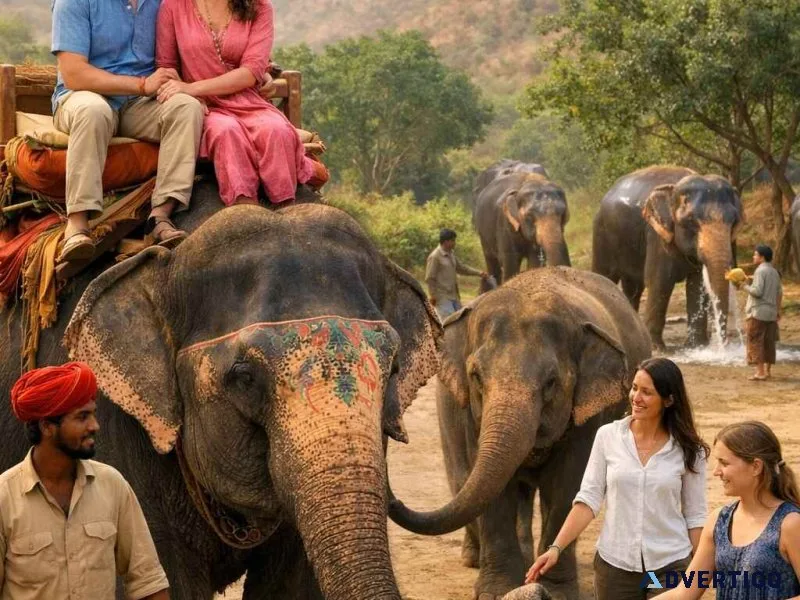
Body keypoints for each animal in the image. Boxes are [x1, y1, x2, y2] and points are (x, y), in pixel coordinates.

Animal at [388, 267, 652, 600]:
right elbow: (490, 482)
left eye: (551, 382)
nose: (393, 499)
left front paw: (556, 591)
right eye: (476, 376)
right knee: (462, 476)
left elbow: (568, 483)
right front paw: (496, 591)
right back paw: (477, 558)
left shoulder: (591, 414)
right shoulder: (470, 413)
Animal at [592, 165, 743, 349]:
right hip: (601, 235)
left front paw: (697, 347)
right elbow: (660, 282)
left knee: (633, 287)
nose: (723, 345)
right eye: (691, 221)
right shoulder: (656, 236)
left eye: (733, 221)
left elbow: (697, 285)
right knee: (603, 276)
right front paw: (658, 348)